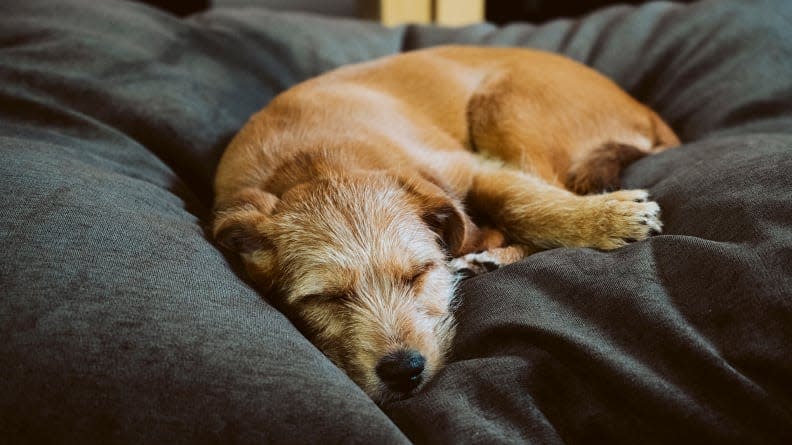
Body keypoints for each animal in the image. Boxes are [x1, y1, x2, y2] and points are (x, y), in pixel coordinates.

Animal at [213, 46, 676, 402]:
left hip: (502, 106)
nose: (404, 370)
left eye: (419, 273)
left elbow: (520, 200)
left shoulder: (472, 169)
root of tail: (646, 111)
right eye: (326, 298)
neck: (312, 164)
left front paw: (606, 217)